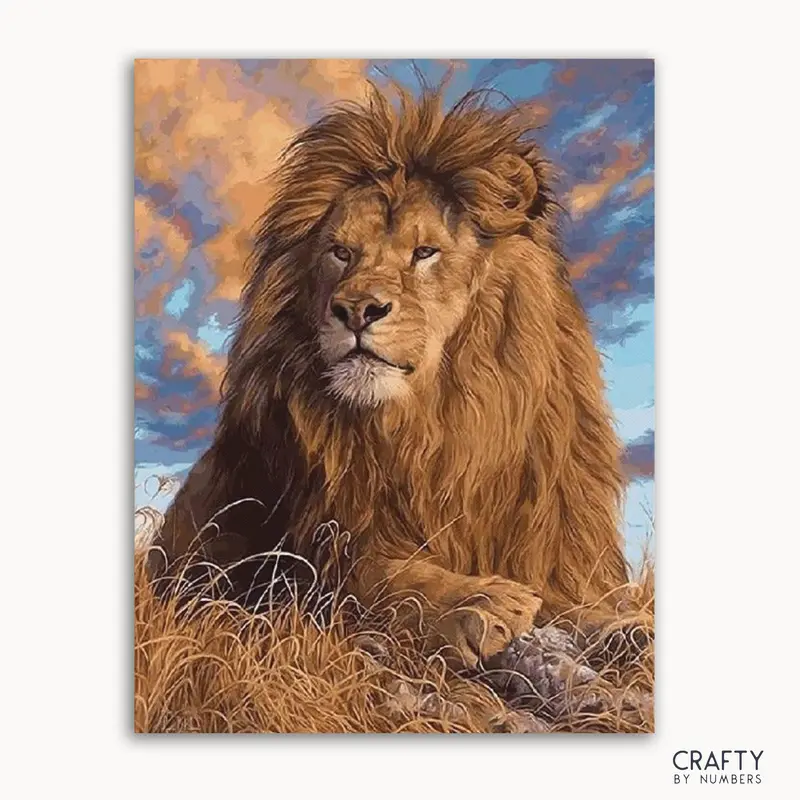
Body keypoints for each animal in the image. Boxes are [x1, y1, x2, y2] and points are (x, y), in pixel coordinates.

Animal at [152, 86, 636, 669]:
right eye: (341, 252)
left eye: (424, 252)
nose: (357, 309)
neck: (434, 425)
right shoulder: (312, 553)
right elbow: (389, 578)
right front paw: (478, 602)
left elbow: (578, 601)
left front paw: (623, 626)